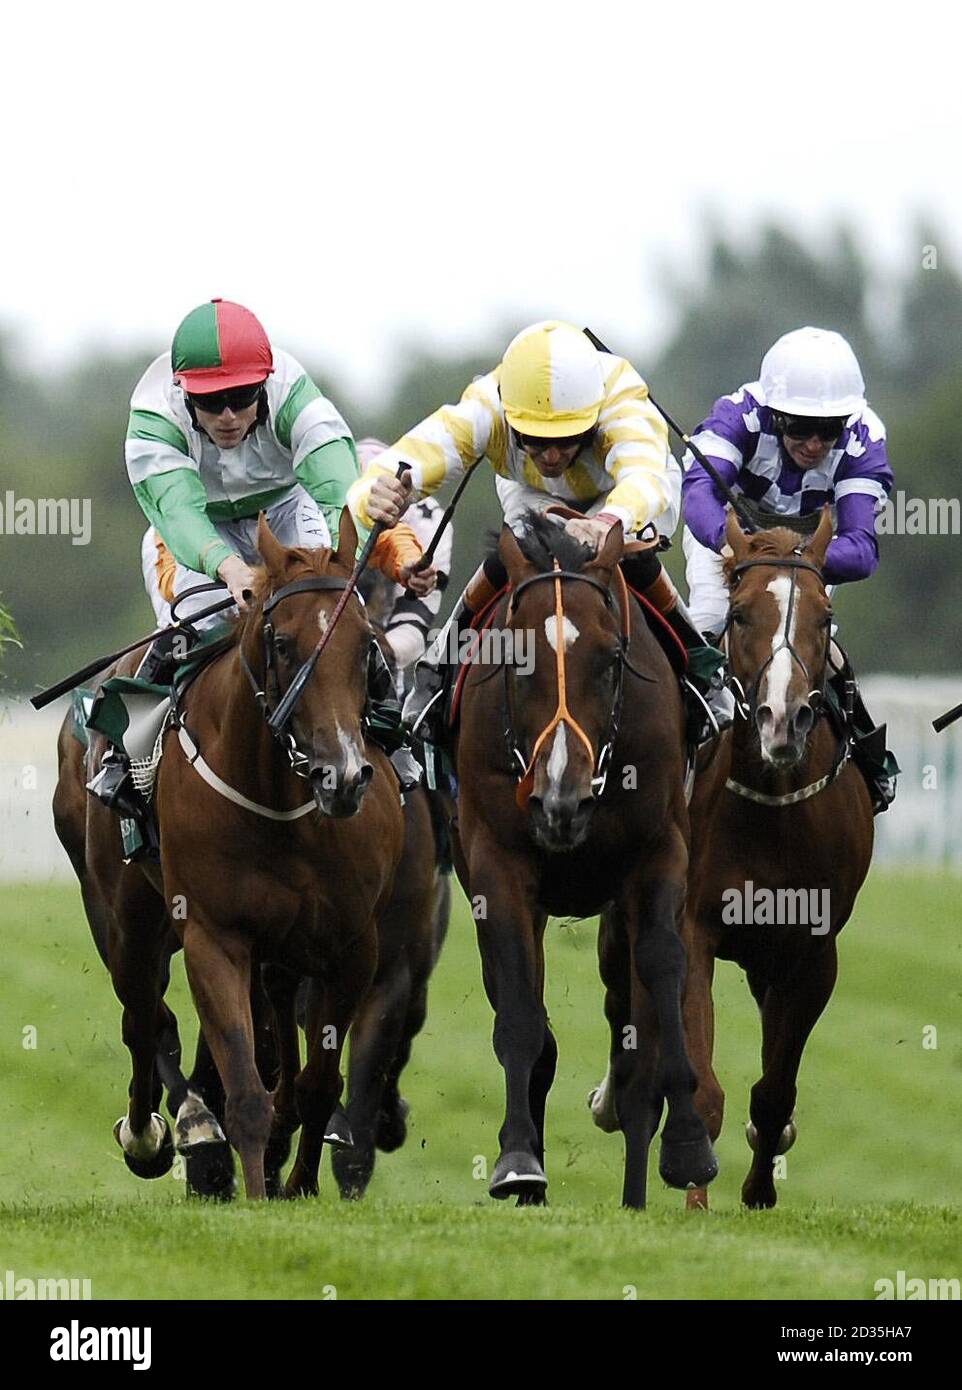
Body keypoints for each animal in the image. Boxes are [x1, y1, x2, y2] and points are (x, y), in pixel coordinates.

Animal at [52, 511, 405, 1195]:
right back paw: (163, 1135)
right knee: (144, 1020)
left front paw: (297, 1186)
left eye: (365, 645)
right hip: (122, 916)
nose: (344, 777)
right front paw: (255, 1187)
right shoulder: (214, 936)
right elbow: (244, 1088)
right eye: (284, 643)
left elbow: (317, 1081)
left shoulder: (352, 944)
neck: (277, 799)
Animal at [450, 511, 711, 1206]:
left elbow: (663, 971)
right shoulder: (497, 862)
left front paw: (689, 1144)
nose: (560, 802)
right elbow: (520, 1011)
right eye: (515, 662)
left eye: (612, 659)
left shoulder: (659, 853)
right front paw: (518, 1159)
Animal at [683, 508, 873, 1206]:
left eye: (825, 615)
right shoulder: (694, 927)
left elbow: (774, 1091)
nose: (780, 720)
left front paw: (759, 1187)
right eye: (740, 614)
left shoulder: (813, 954)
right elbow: (701, 1084)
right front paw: (694, 1196)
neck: (771, 806)